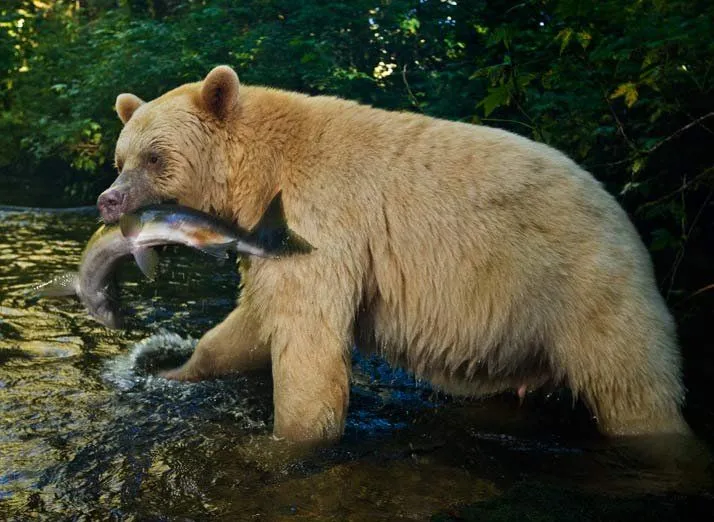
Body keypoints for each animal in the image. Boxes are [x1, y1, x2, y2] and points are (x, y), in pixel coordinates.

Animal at [97, 64, 688, 438]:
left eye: (155, 157)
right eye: (120, 158)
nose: (108, 200)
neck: (258, 174)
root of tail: (619, 210)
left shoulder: (321, 219)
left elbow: (308, 339)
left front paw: (289, 440)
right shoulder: (270, 247)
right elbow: (250, 324)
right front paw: (172, 371)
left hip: (580, 285)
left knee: (633, 387)